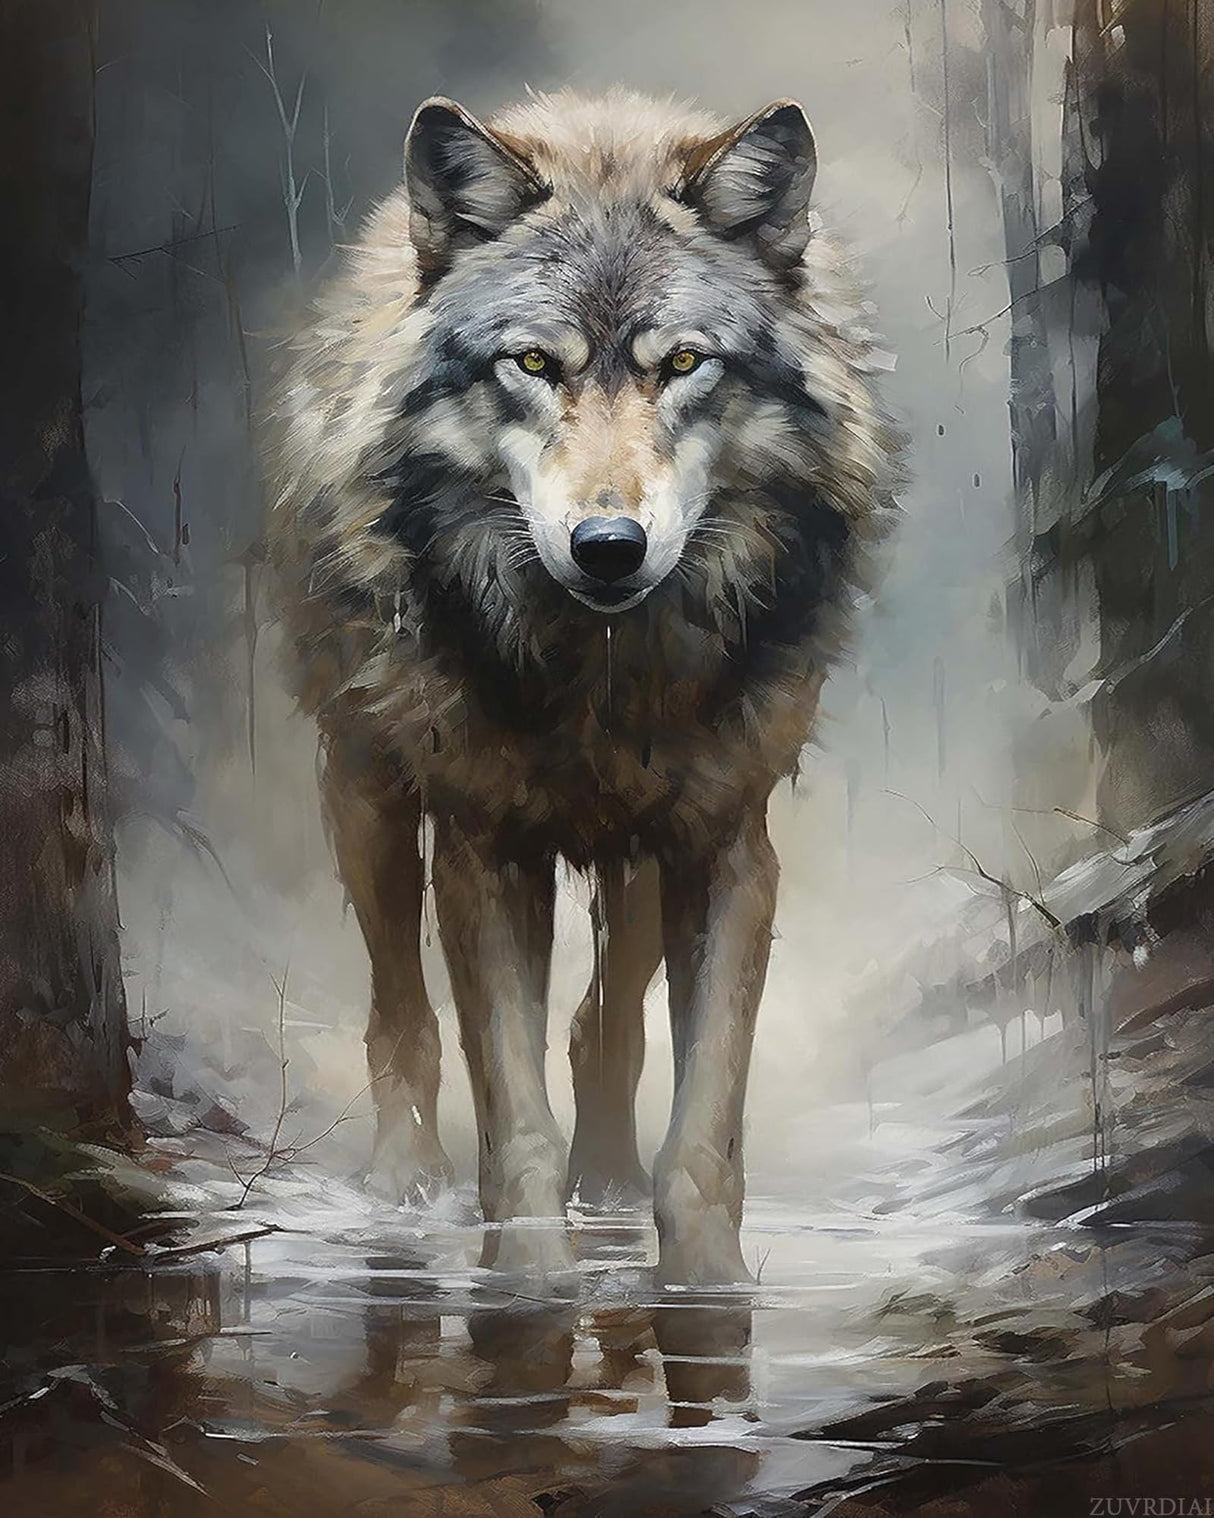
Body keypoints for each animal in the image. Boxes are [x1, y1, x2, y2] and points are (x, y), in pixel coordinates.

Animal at [264, 88, 900, 1285]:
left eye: (684, 363)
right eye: (532, 364)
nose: (608, 546)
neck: (606, 676)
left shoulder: (727, 847)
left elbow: (703, 1116)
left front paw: (703, 1285)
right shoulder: (484, 849)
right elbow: (509, 1105)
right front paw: (528, 1284)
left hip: (639, 851)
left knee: (604, 1026)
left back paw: (603, 1179)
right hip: (364, 793)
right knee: (399, 1012)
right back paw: (407, 1181)